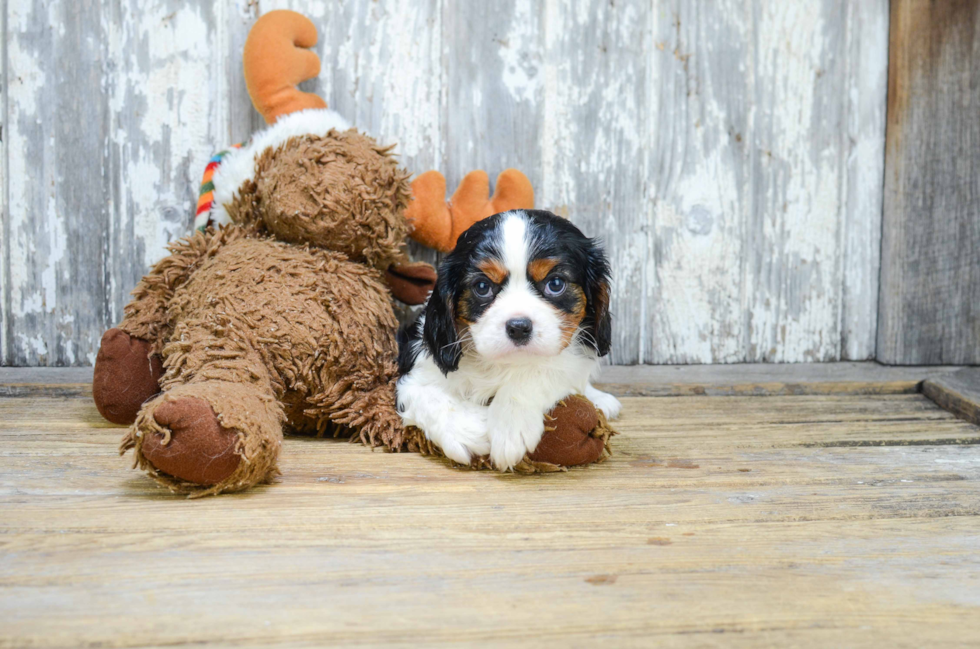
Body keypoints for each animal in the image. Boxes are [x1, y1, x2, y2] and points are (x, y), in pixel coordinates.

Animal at [396, 210, 620, 468]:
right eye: (482, 286)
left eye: (555, 284)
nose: (519, 327)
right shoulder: (412, 373)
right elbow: (427, 395)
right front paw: (467, 431)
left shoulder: (575, 357)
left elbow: (540, 372)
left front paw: (511, 425)